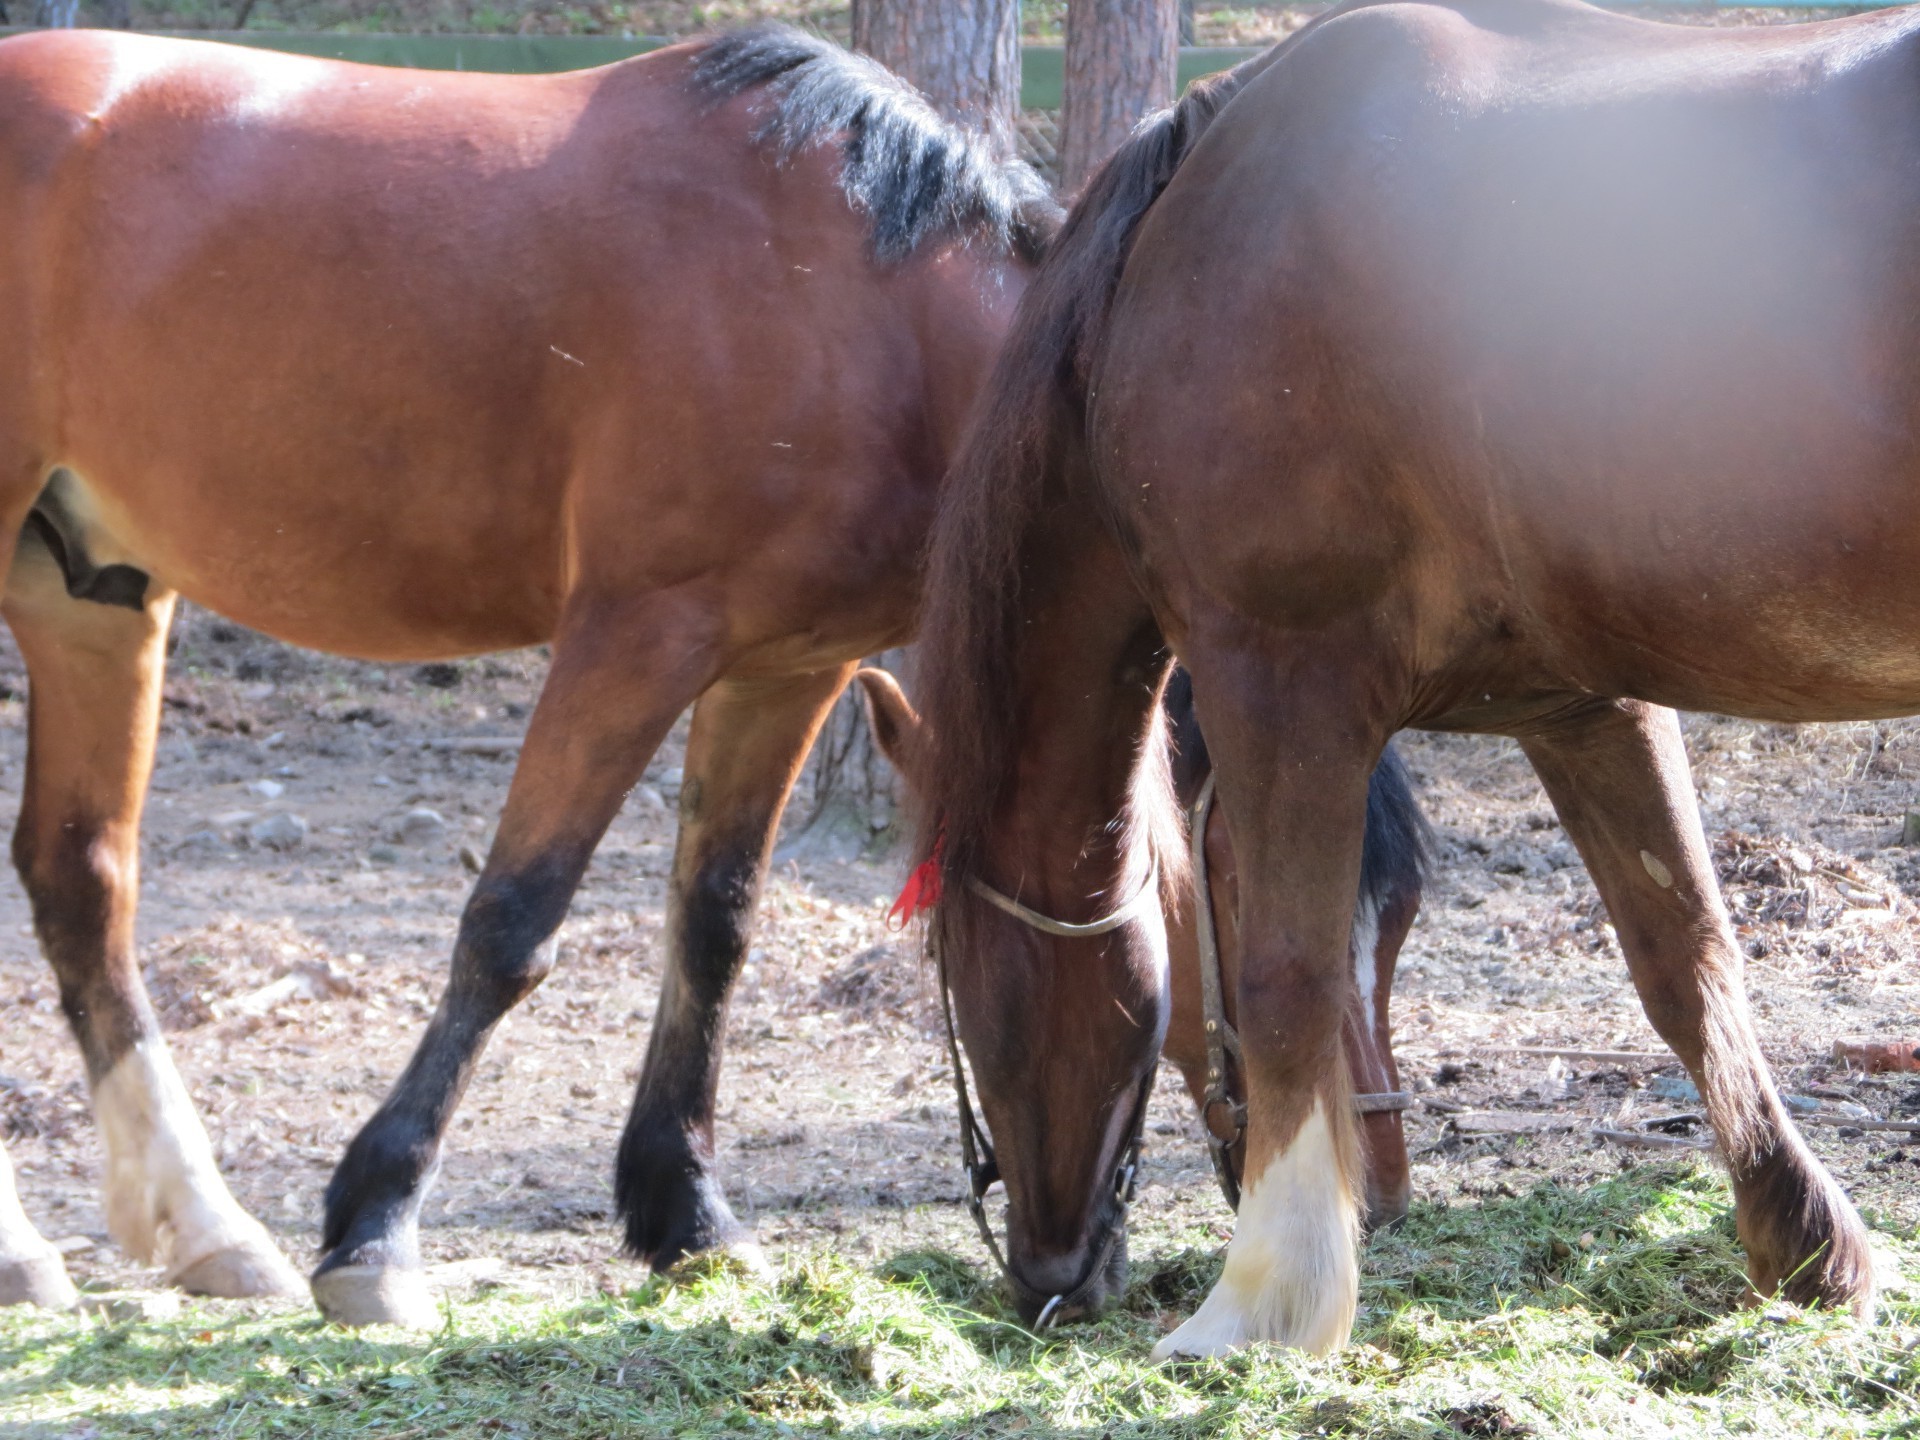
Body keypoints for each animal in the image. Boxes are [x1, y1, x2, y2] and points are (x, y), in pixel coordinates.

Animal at [0, 25, 1052, 1328]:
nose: (1071, 1272)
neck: (867, 306)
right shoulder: (632, 636)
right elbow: (511, 923)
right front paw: (376, 1230)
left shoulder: (788, 668)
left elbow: (715, 925)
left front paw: (688, 1214)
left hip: (90, 593)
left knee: (79, 880)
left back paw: (204, 1230)